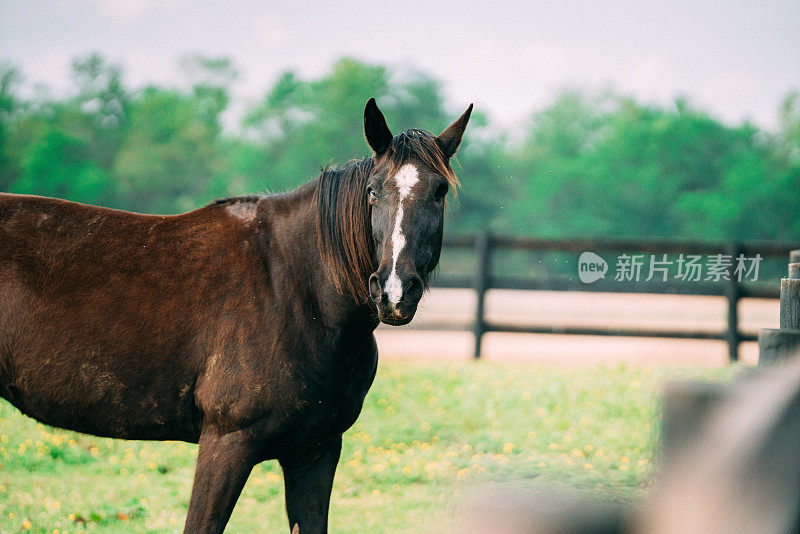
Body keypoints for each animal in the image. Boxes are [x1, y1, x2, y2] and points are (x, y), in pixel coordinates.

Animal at [0, 98, 472, 532]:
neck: (297, 289)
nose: (394, 291)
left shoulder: (315, 449)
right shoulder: (226, 442)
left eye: (438, 192)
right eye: (373, 190)